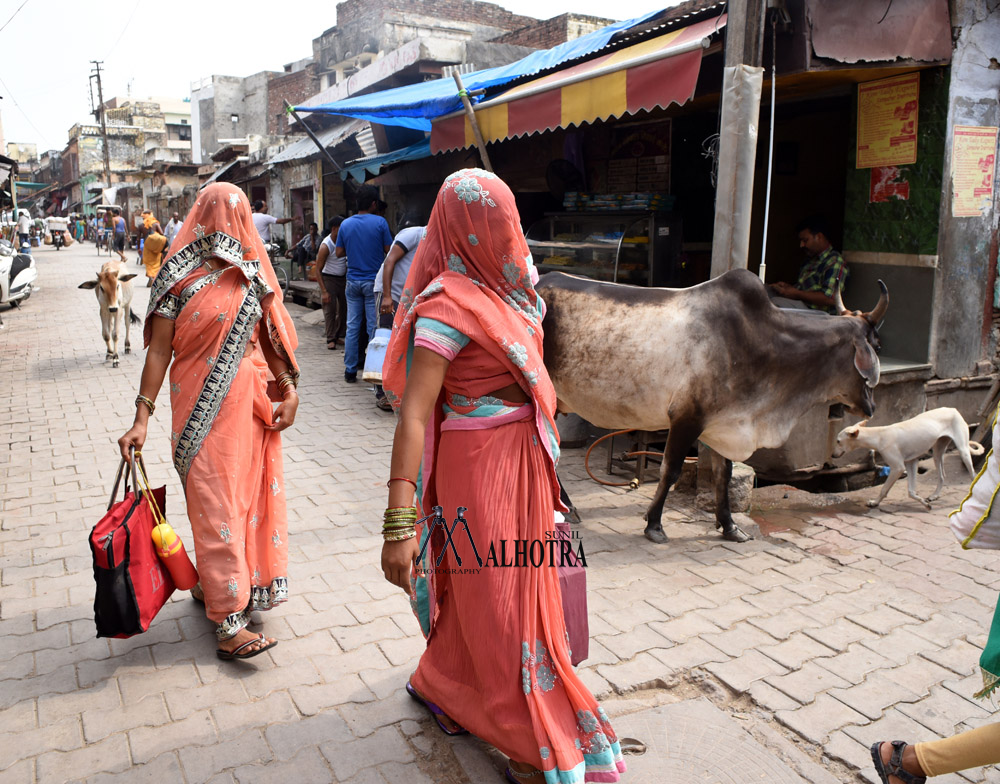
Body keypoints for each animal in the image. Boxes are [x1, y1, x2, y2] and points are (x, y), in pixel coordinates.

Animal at [828, 408, 984, 512]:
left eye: (838, 441)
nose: (832, 456)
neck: (879, 436)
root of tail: (953, 409)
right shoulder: (911, 462)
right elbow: (910, 491)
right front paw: (924, 503)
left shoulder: (898, 468)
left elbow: (884, 489)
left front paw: (875, 503)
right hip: (938, 452)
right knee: (942, 475)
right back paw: (934, 496)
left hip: (963, 451)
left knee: (973, 475)